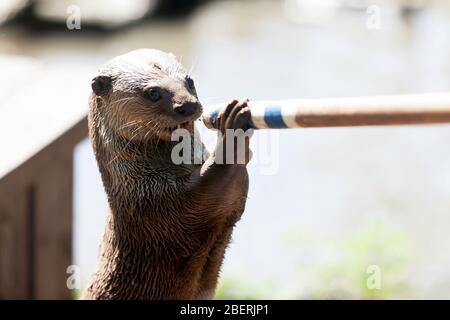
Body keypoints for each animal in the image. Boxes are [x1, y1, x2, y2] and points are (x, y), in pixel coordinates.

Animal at [83, 48, 253, 300]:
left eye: (190, 81)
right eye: (152, 92)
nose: (188, 106)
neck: (141, 183)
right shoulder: (160, 205)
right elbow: (214, 188)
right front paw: (233, 125)